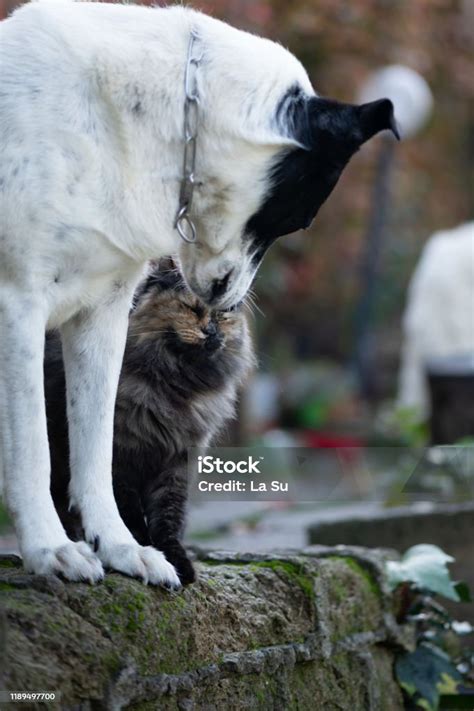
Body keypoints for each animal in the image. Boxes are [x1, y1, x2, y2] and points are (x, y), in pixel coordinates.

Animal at [46, 262, 256, 584]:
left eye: (223, 315)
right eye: (192, 308)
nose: (211, 332)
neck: (176, 386)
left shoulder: (176, 464)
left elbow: (168, 520)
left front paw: (177, 563)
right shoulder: (122, 461)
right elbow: (131, 516)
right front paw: (146, 554)